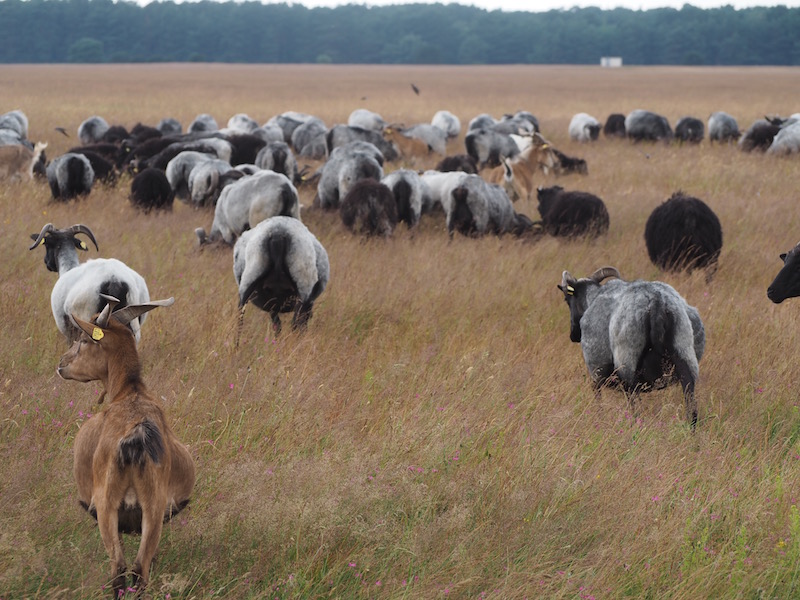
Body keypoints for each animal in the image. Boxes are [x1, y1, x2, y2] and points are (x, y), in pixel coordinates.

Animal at [58, 295, 195, 598]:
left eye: (83, 340)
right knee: (139, 570)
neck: (130, 391)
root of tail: (136, 438)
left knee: (120, 570)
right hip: (152, 509)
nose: (61, 364)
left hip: (108, 506)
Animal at [557, 267, 705, 426]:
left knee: (635, 405)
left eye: (567, 300)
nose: (573, 335)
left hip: (626, 363)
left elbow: (598, 399)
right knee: (692, 407)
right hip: (684, 355)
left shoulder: (595, 372)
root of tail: (656, 301)